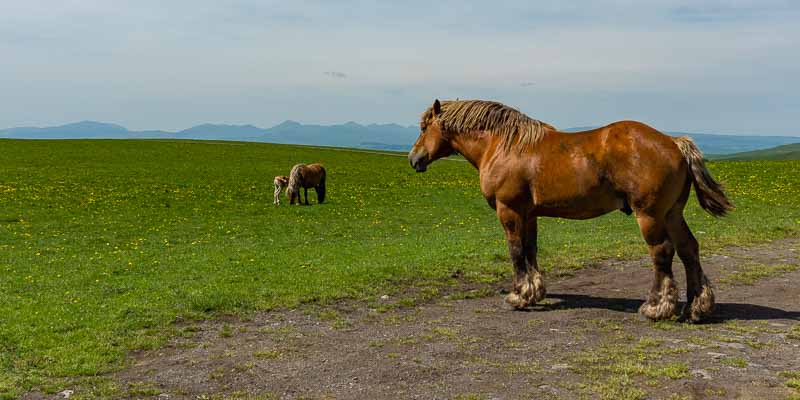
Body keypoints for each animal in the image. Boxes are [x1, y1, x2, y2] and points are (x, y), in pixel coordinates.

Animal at [410, 99, 736, 322]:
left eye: (424, 127)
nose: (414, 159)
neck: (504, 145)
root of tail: (674, 142)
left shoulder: (509, 211)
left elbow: (515, 252)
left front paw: (517, 296)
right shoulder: (529, 214)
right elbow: (530, 250)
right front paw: (534, 292)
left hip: (651, 216)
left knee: (662, 253)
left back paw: (657, 306)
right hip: (672, 214)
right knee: (689, 250)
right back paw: (696, 306)